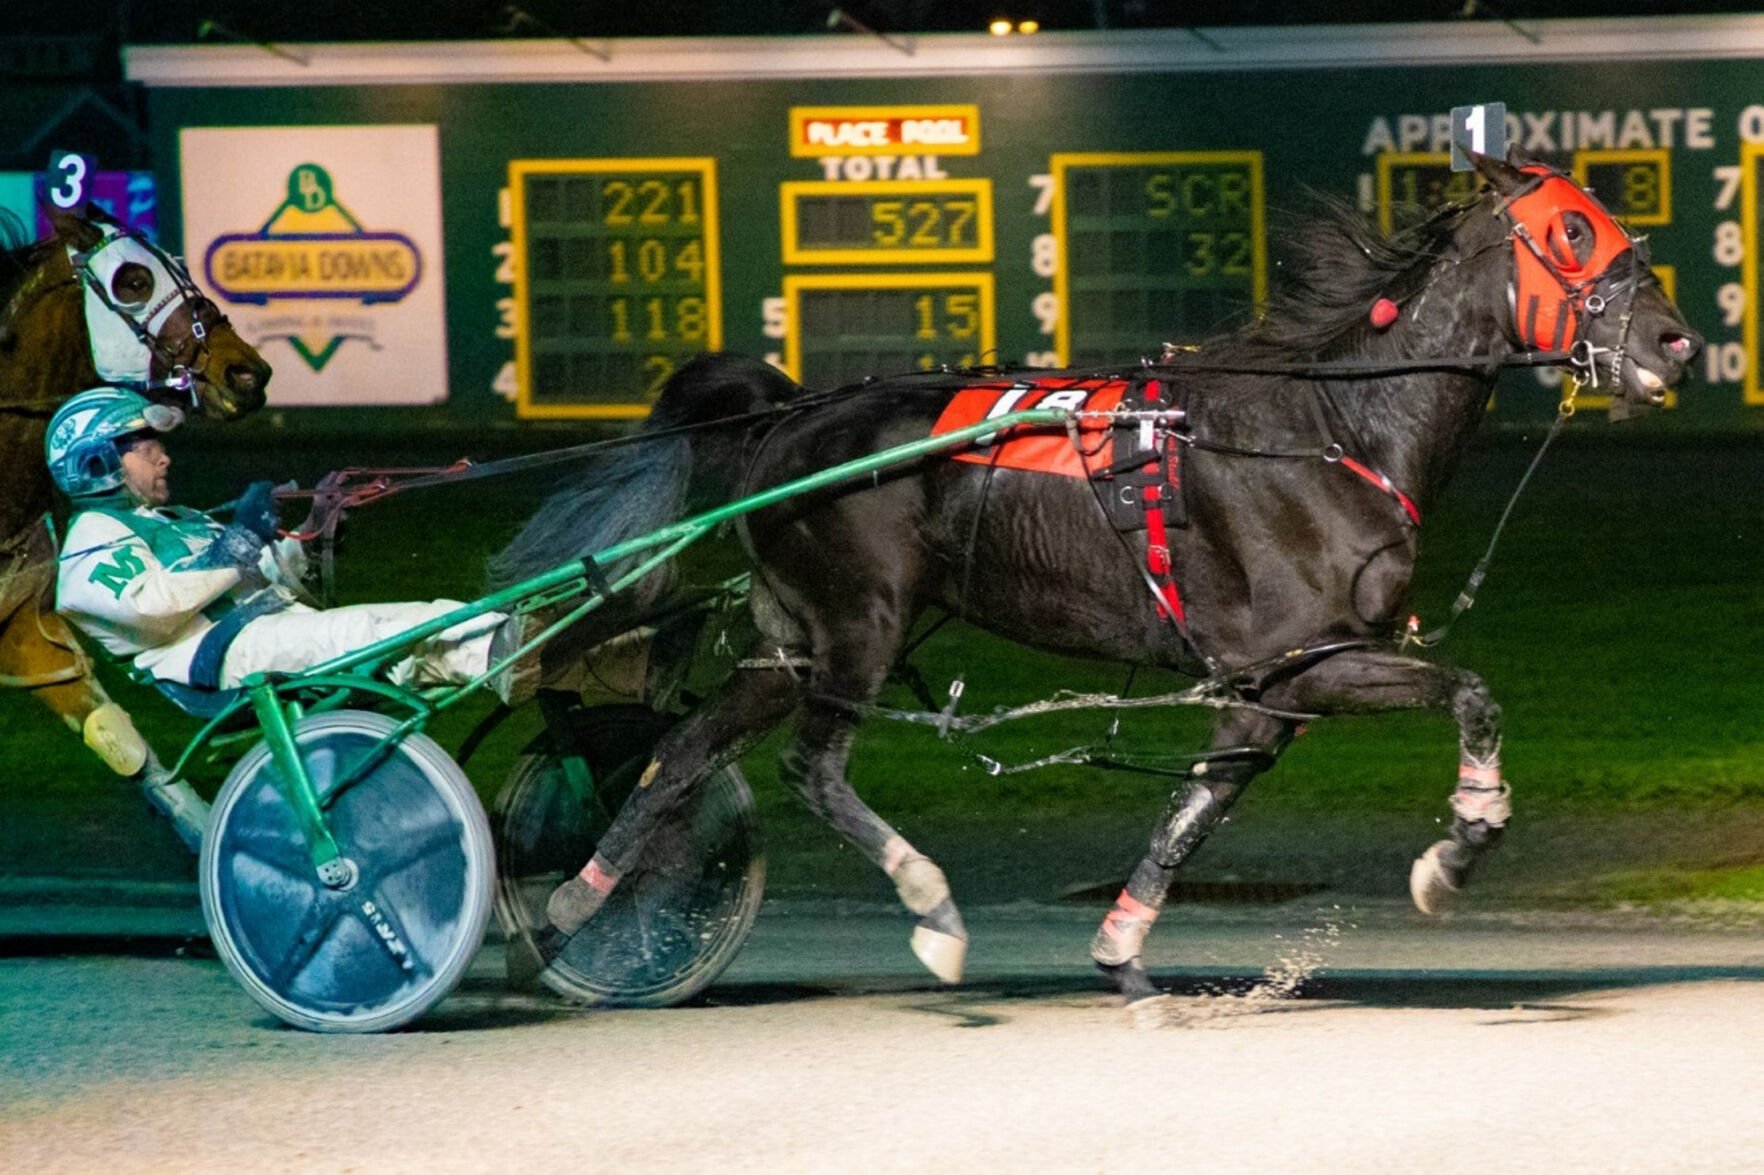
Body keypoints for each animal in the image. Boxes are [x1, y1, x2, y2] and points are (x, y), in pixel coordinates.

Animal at [497, 153, 1693, 995]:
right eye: (1573, 229)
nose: (1676, 342)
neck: (1329, 431)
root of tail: (791, 409)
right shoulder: (1305, 660)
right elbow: (1472, 693)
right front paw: (1458, 847)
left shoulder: (1262, 692)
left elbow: (1195, 810)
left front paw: (1122, 949)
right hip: (859, 625)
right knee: (809, 766)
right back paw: (932, 909)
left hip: (793, 637)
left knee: (683, 752)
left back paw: (565, 919)